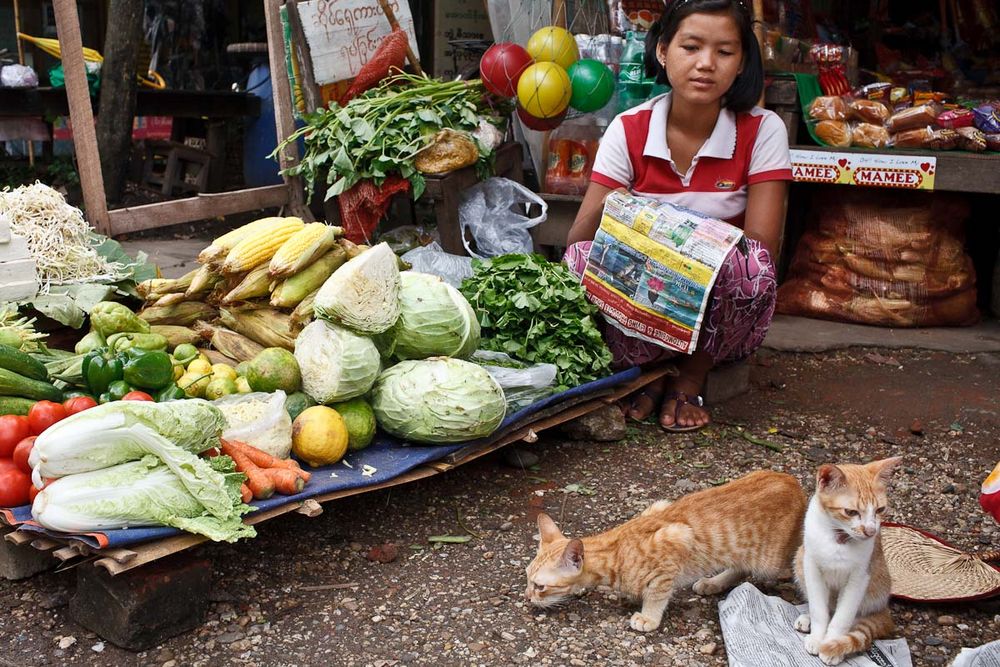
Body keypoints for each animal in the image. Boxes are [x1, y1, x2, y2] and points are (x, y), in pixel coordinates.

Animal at [524, 470, 804, 632]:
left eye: (540, 586)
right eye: (526, 578)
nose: (527, 597)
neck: (615, 553)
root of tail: (794, 482)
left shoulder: (675, 543)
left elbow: (657, 594)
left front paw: (648, 617)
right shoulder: (657, 506)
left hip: (773, 561)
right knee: (740, 566)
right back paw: (713, 583)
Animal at [792, 460, 904, 667]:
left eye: (880, 510)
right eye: (850, 512)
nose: (870, 531)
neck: (839, 539)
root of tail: (884, 607)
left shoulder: (859, 577)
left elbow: (842, 617)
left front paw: (832, 645)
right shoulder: (811, 566)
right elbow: (819, 609)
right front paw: (818, 637)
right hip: (799, 559)